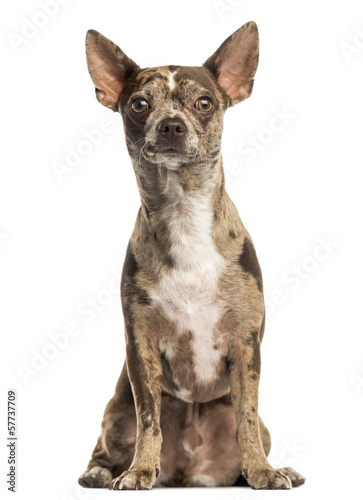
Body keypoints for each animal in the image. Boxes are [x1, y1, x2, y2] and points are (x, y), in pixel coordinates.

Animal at [78, 21, 306, 490]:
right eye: (139, 104)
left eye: (204, 103)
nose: (170, 125)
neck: (183, 212)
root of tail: (187, 472)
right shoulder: (141, 346)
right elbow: (150, 418)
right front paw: (139, 471)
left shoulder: (245, 346)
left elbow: (247, 415)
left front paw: (262, 472)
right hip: (116, 414)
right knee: (109, 443)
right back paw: (100, 472)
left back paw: (274, 467)